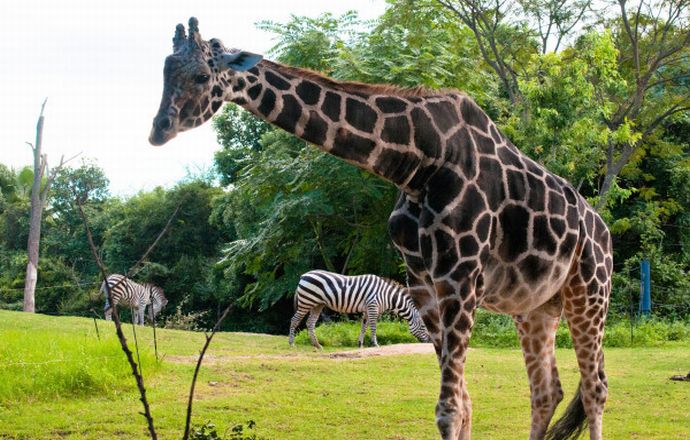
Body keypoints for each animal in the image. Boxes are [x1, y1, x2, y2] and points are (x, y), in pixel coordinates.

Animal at [286, 270, 428, 348]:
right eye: (423, 327)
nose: (429, 341)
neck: (386, 295)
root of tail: (303, 276)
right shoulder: (372, 306)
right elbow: (373, 327)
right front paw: (375, 344)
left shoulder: (367, 310)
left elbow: (364, 327)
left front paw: (360, 344)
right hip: (306, 302)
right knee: (294, 320)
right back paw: (292, 343)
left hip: (317, 305)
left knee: (310, 323)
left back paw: (317, 345)